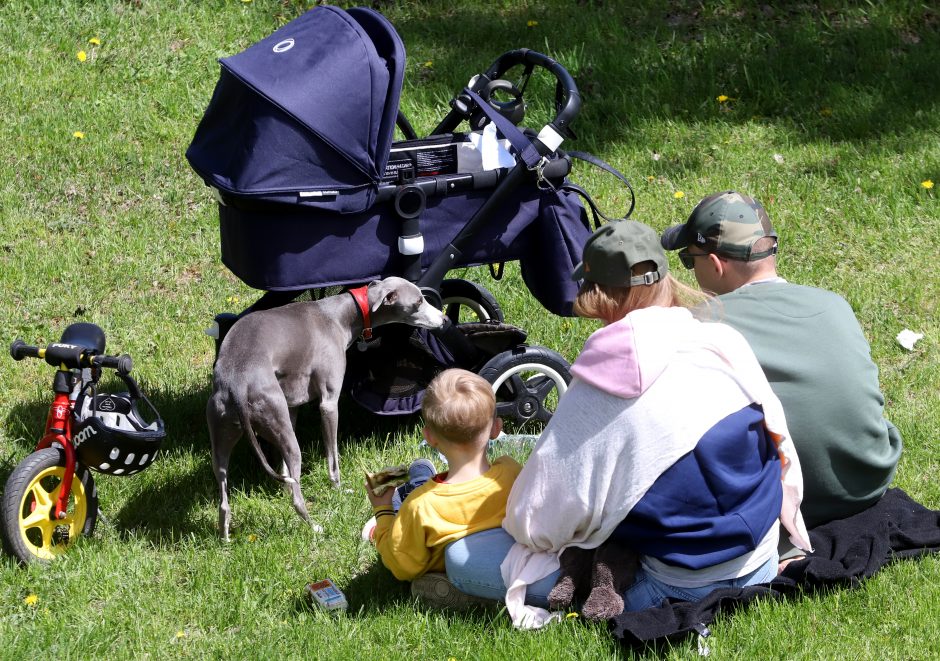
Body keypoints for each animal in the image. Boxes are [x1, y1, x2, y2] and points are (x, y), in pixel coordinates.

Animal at [206, 276, 444, 540]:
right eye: (418, 301)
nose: (444, 320)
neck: (340, 314)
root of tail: (237, 381)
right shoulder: (329, 403)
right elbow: (333, 459)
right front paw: (339, 489)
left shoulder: (292, 405)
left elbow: (286, 469)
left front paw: (285, 486)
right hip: (281, 430)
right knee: (298, 498)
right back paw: (314, 527)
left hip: (224, 436)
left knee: (224, 500)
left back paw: (226, 538)